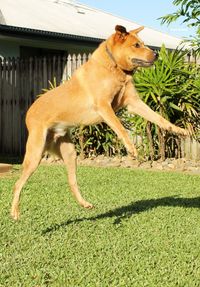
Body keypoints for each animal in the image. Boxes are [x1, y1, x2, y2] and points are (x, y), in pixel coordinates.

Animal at [10, 25, 187, 220]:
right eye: (136, 45)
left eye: (143, 43)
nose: (156, 55)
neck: (114, 68)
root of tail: (29, 113)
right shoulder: (104, 106)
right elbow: (120, 128)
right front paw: (131, 148)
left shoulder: (133, 103)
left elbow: (159, 118)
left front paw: (178, 130)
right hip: (35, 154)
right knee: (18, 184)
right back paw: (14, 211)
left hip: (70, 153)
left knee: (72, 182)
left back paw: (85, 204)